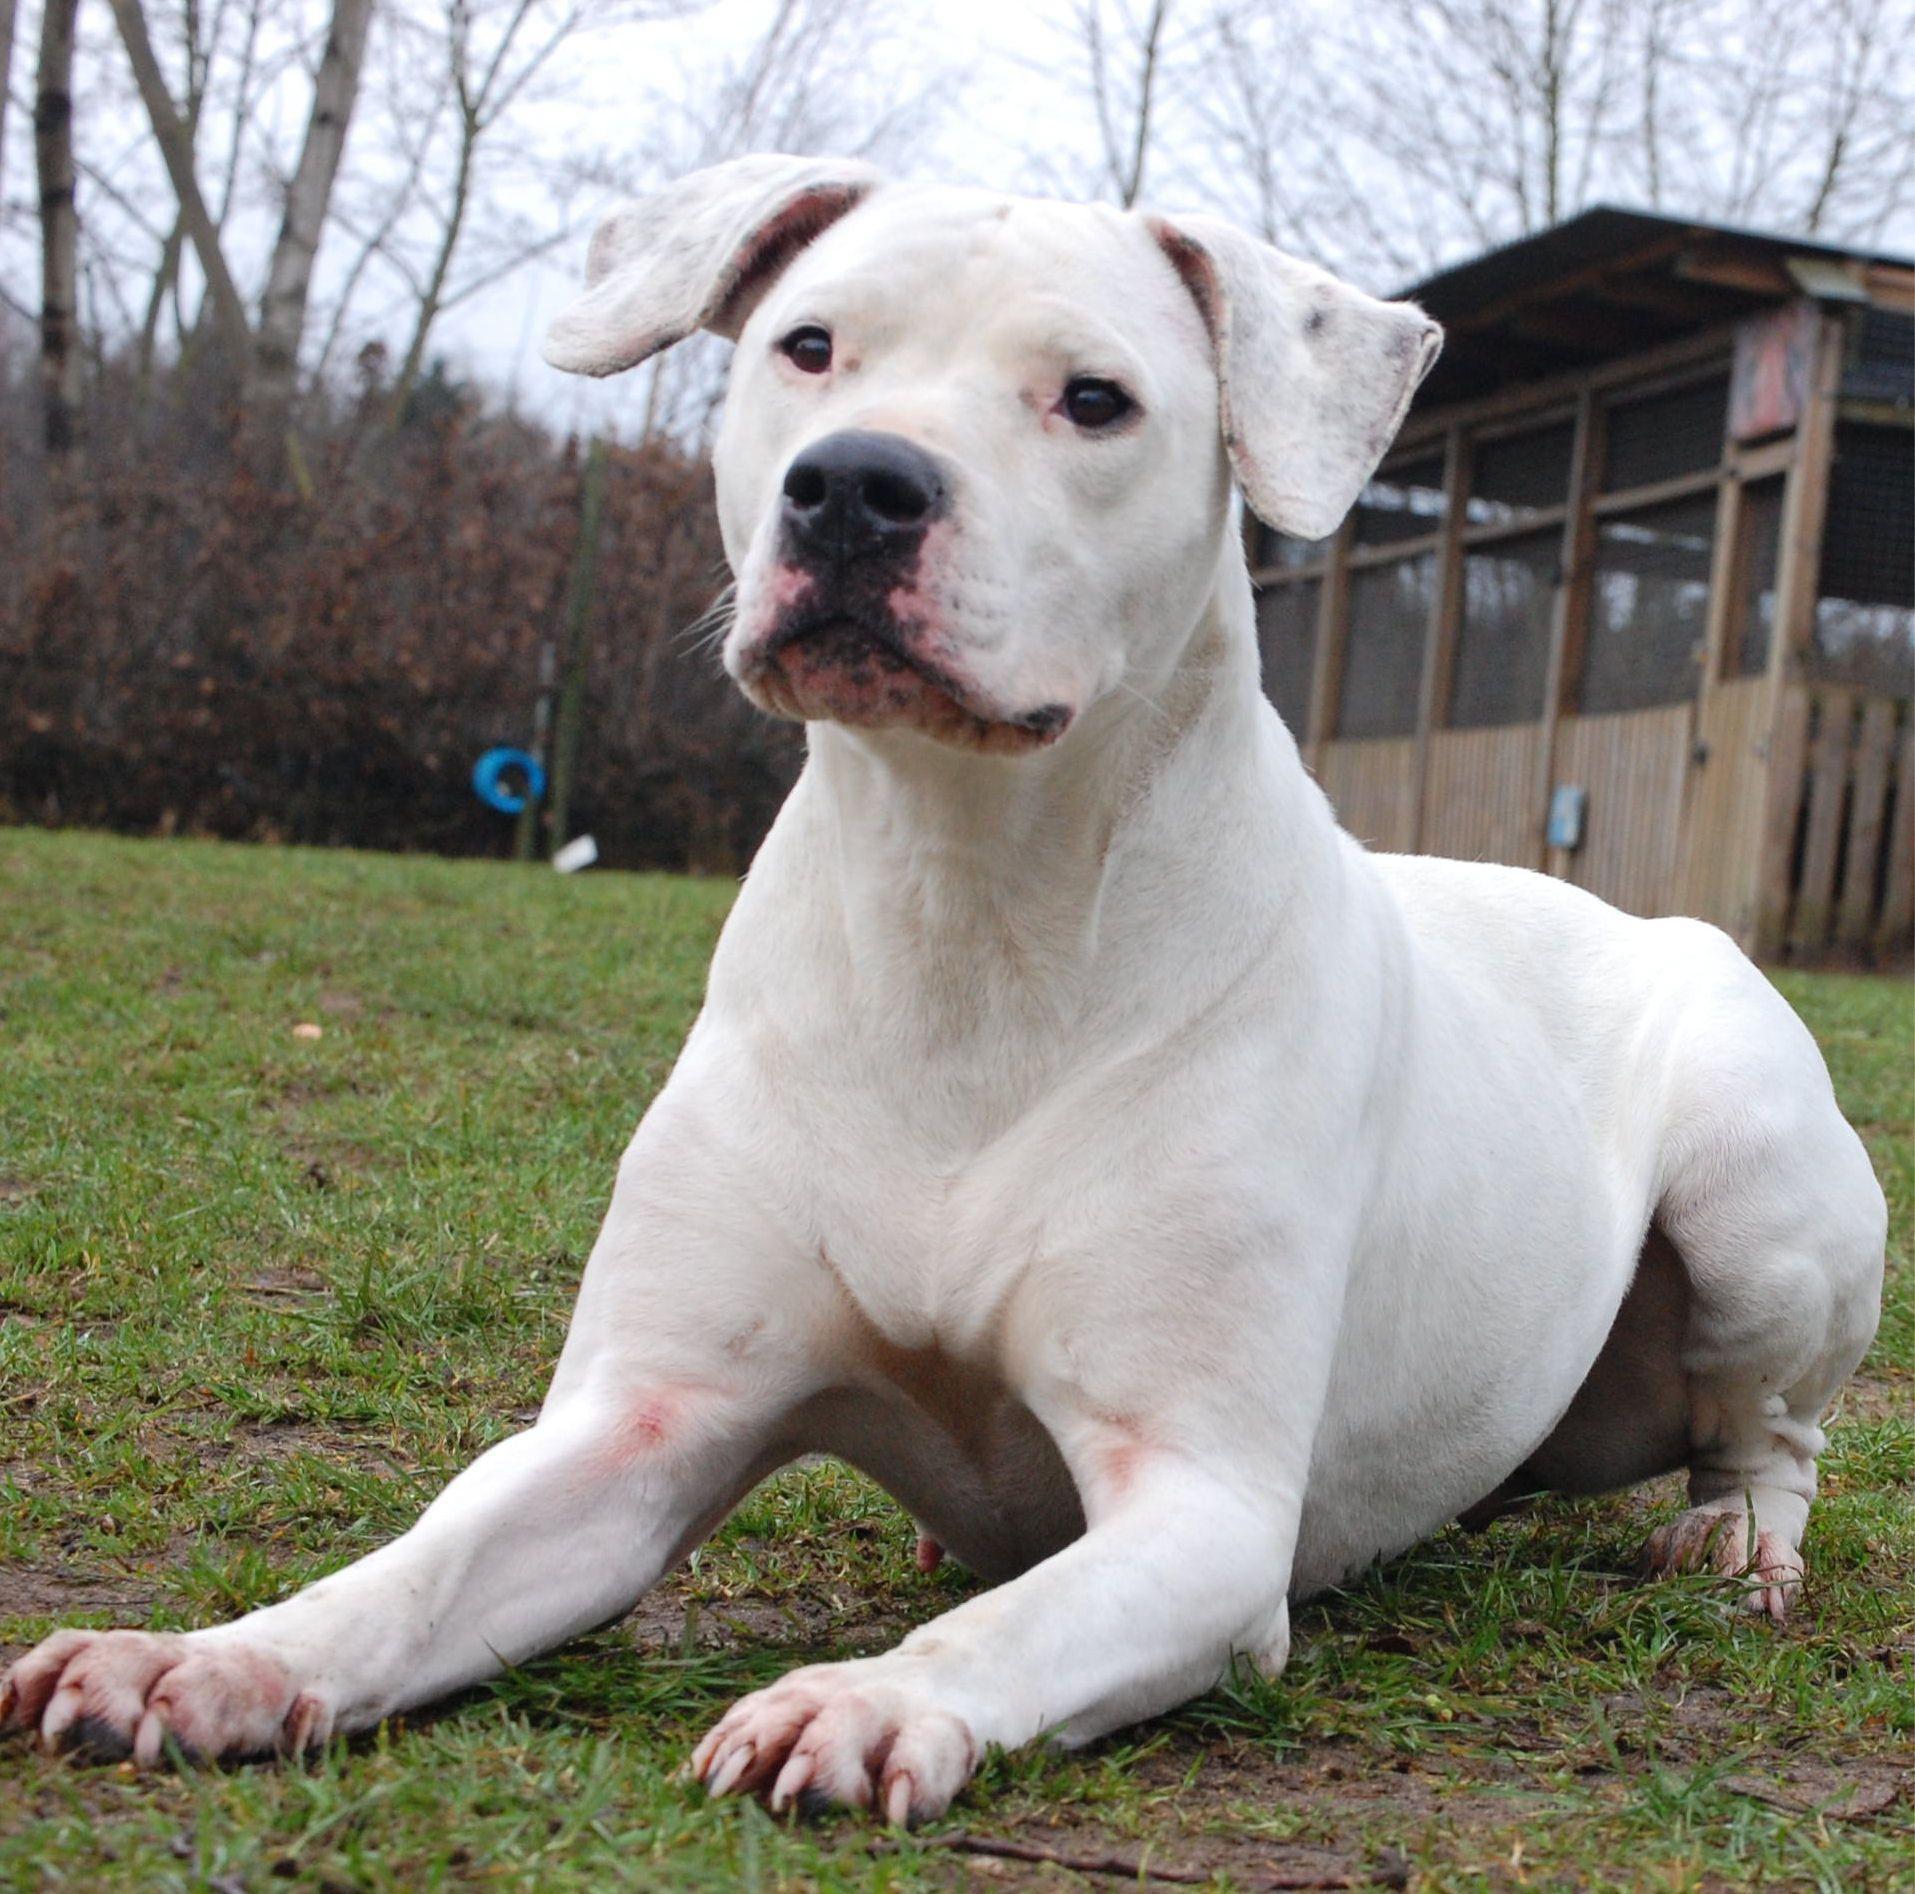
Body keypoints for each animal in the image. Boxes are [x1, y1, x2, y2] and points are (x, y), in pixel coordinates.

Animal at [0, 162, 1884, 1815]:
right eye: (808, 345)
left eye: (1096, 399)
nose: (852, 486)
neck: (964, 906)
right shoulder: (636, 1425)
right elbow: (411, 1568)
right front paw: (210, 1656)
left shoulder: (1201, 1506)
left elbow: (1011, 1620)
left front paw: (863, 1695)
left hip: (1756, 1183)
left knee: (1771, 1430)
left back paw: (1732, 1539)